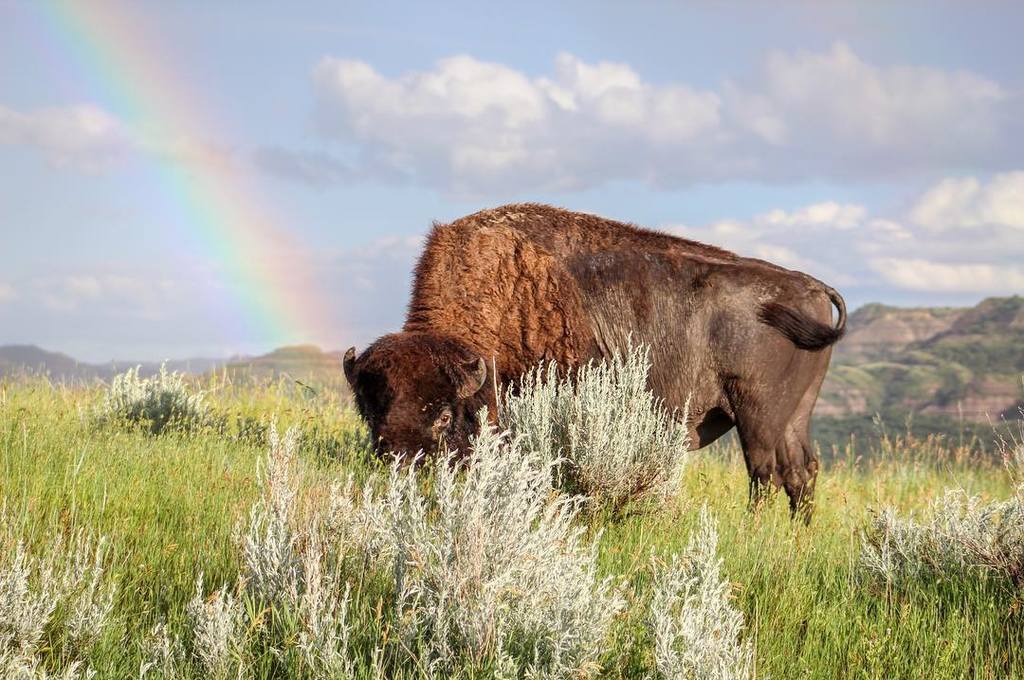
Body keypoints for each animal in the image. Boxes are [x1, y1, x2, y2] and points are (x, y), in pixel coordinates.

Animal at [344, 204, 847, 518]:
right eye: (371, 413)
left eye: (445, 416)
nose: (400, 468)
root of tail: (811, 286)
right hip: (794, 413)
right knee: (801, 473)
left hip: (757, 412)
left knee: (765, 474)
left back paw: (753, 528)